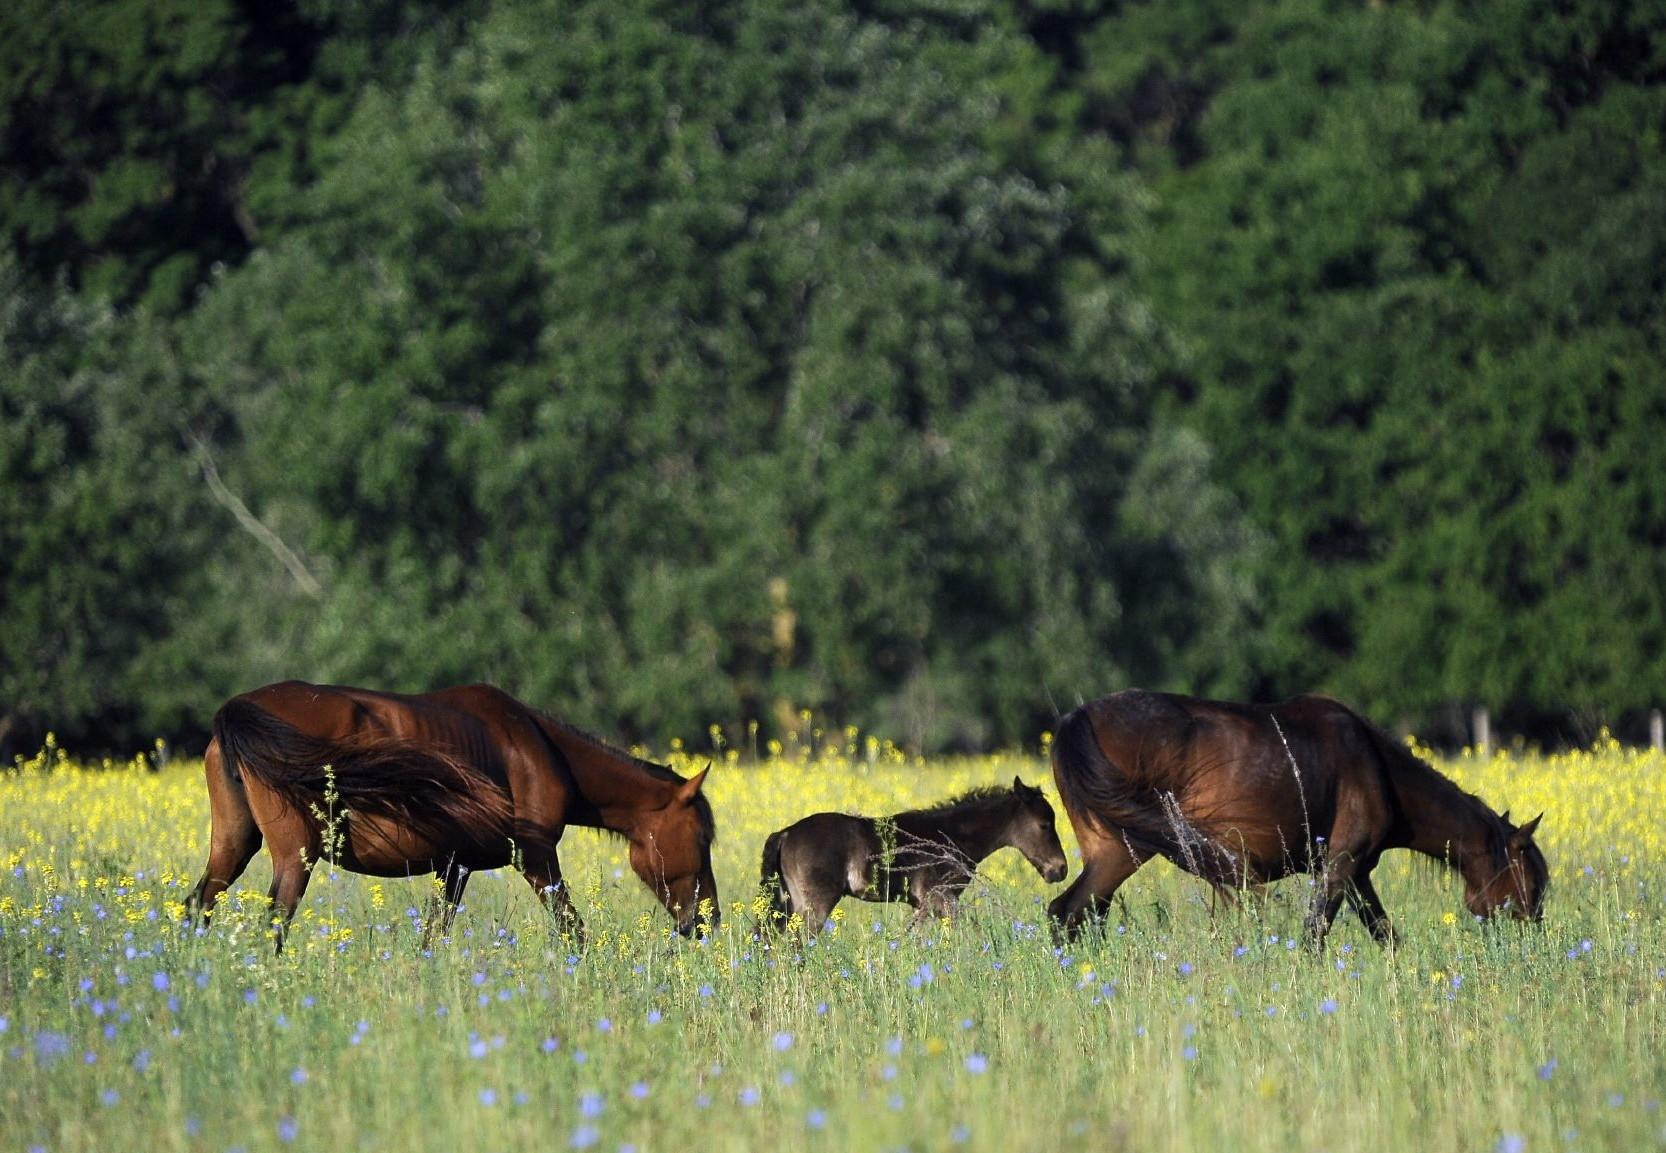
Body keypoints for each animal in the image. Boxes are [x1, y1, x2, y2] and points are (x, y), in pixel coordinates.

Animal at [184, 681, 717, 950]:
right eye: (702, 838)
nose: (705, 921)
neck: (535, 747)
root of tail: (238, 708)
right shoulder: (535, 857)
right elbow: (574, 931)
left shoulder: (453, 867)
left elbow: (432, 937)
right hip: (295, 857)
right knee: (273, 923)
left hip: (234, 846)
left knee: (197, 906)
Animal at [758, 777, 1068, 934]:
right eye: (1045, 824)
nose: (1061, 869)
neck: (949, 835)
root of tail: (785, 833)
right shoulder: (940, 898)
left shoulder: (925, 904)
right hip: (815, 905)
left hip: (791, 902)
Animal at [1047, 690, 1548, 947]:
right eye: (1531, 881)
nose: (1534, 939)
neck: (1378, 769)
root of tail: (1076, 719)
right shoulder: (1341, 866)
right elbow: (1314, 936)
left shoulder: (1356, 874)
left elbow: (1385, 934)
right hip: (1126, 851)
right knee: (1069, 913)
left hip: (1108, 852)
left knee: (1073, 915)